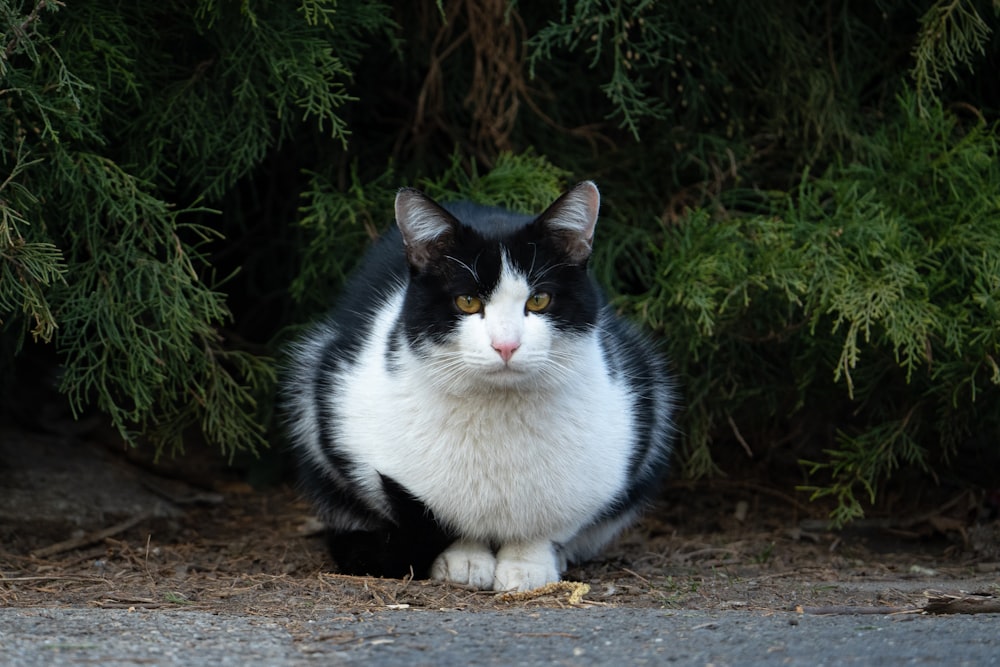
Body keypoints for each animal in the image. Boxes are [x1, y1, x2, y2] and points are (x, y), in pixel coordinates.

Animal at [282, 181, 672, 588]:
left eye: (539, 299)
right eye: (467, 301)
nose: (506, 344)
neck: (499, 413)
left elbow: (550, 522)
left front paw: (528, 564)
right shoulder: (348, 428)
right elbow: (440, 518)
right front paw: (465, 560)